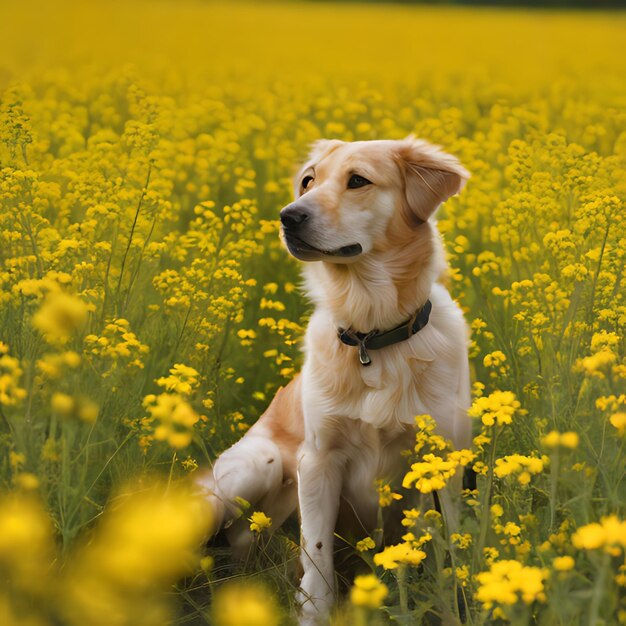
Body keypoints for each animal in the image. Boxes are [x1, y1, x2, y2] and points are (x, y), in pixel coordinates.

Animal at [196, 138, 468, 624]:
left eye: (357, 180)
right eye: (309, 180)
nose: (288, 216)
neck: (373, 337)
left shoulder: (444, 457)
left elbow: (451, 551)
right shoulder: (319, 459)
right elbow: (317, 555)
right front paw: (315, 614)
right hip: (257, 465)